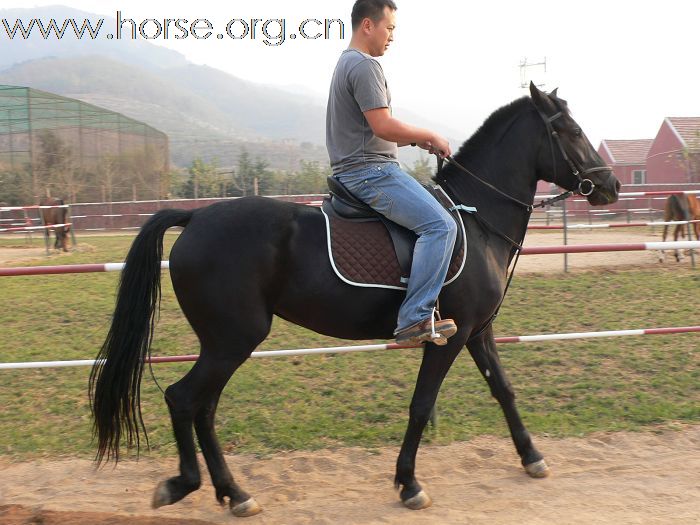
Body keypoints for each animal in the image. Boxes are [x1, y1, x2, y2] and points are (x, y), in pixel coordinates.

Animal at [90, 84, 620, 512]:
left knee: (204, 407)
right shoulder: (448, 338)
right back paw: (195, 486)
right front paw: (408, 484)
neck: (476, 218)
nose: (611, 185)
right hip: (232, 340)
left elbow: (504, 390)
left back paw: (231, 492)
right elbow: (421, 405)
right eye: (571, 131)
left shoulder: (477, 332)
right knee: (185, 400)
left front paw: (532, 457)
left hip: (223, 343)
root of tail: (196, 217)